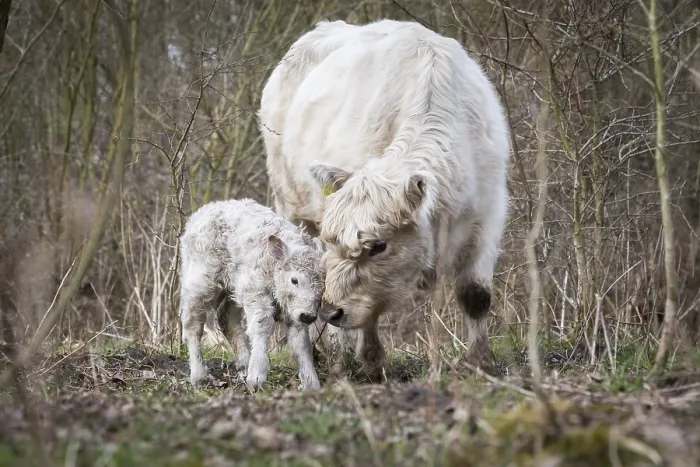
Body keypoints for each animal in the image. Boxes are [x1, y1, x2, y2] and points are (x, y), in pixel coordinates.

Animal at [258, 19, 510, 380]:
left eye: (379, 246)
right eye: (333, 240)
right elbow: (368, 308)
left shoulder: (487, 216)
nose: (330, 312)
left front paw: (483, 364)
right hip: (291, 205)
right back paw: (324, 354)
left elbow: (475, 294)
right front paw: (372, 360)